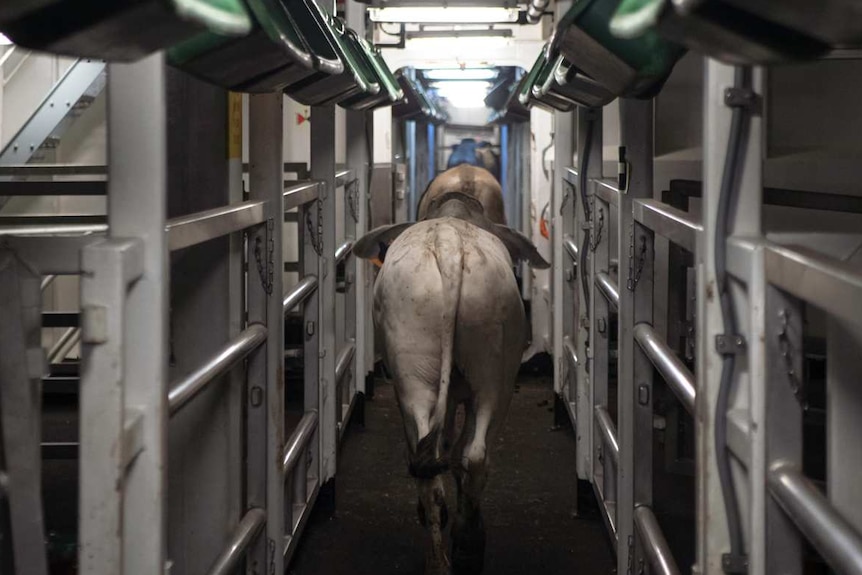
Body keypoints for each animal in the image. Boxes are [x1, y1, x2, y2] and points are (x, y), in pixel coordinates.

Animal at [352, 191, 548, 572]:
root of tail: (449, 244)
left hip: (418, 377)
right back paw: (461, 546)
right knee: (470, 455)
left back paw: (447, 549)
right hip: (490, 374)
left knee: (433, 456)